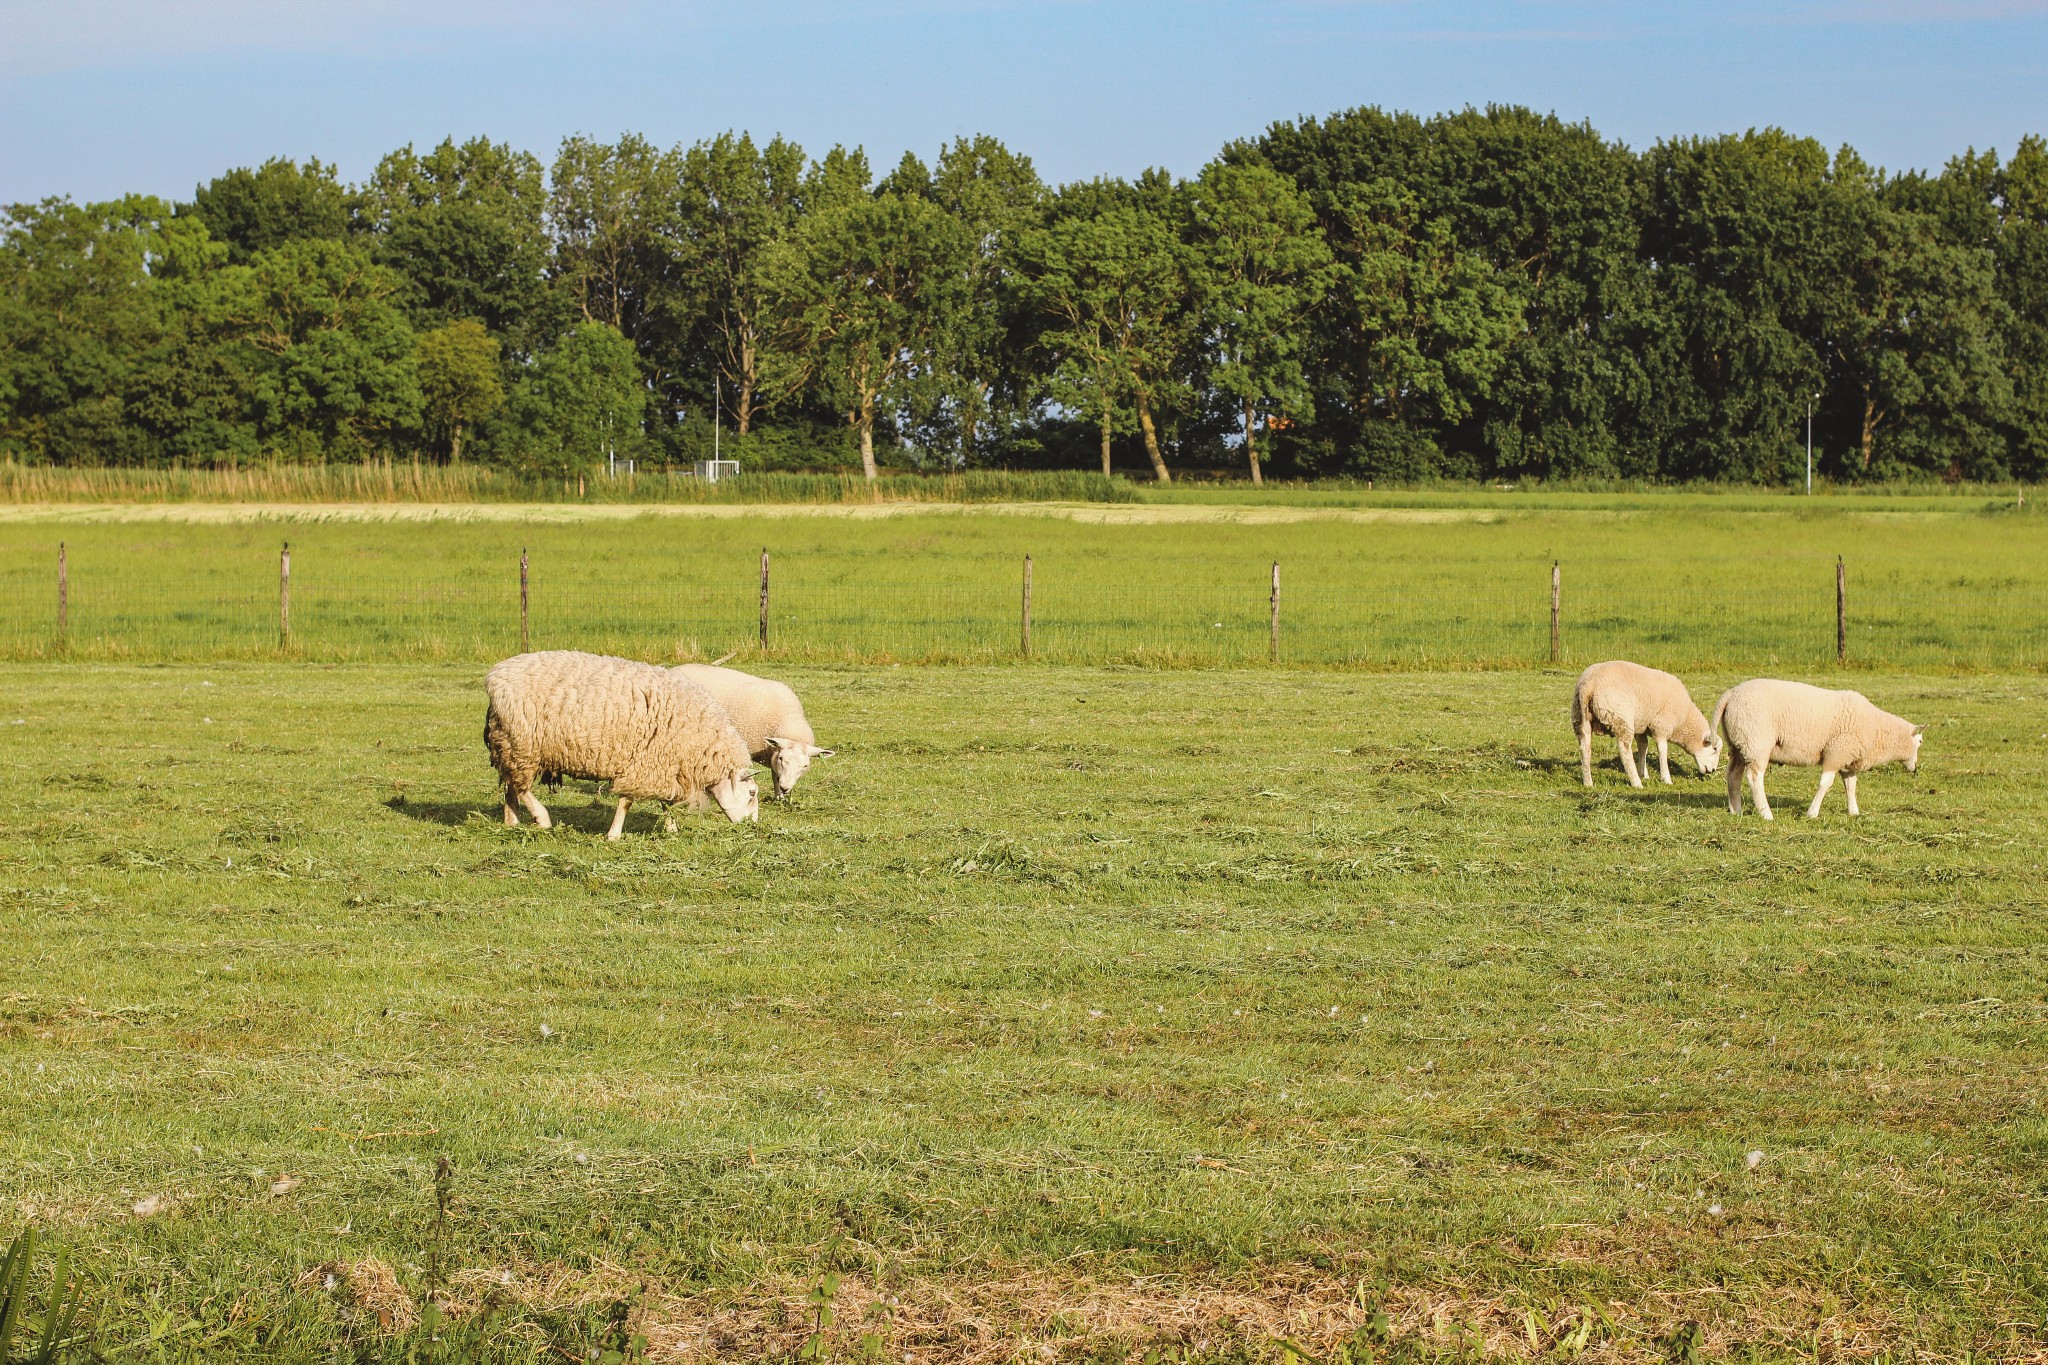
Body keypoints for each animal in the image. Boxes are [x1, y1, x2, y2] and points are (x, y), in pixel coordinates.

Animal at [485, 646, 761, 839]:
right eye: (752, 793)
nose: (752, 827)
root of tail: (494, 676)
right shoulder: (644, 763)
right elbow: (627, 801)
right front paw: (614, 834)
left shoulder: (664, 766)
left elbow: (667, 803)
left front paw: (671, 829)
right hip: (523, 744)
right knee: (522, 788)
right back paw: (542, 819)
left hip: (510, 744)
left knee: (511, 786)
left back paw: (512, 822)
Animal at [671, 663, 831, 802]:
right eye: (781, 759)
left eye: (805, 766)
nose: (785, 788)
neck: (788, 717)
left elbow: (775, 776)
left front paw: (779, 797)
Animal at [1572, 663, 1720, 789]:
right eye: (1714, 749)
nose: (1712, 770)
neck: (1683, 720)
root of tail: (1589, 683)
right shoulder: (1661, 726)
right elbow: (1662, 750)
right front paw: (1666, 779)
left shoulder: (1642, 726)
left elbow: (1643, 747)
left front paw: (1644, 774)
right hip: (1620, 717)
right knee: (1625, 751)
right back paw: (1636, 782)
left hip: (1579, 717)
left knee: (1585, 749)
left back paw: (1588, 782)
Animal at [1712, 675, 1916, 818]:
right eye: (1919, 742)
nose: (1915, 769)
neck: (1876, 728)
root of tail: (1731, 694)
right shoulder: (1837, 752)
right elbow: (1826, 783)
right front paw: (1812, 813)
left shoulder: (1847, 757)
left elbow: (1851, 785)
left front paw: (1854, 811)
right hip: (1756, 741)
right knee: (1754, 778)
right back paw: (1766, 814)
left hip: (1739, 743)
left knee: (1733, 775)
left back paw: (1736, 810)